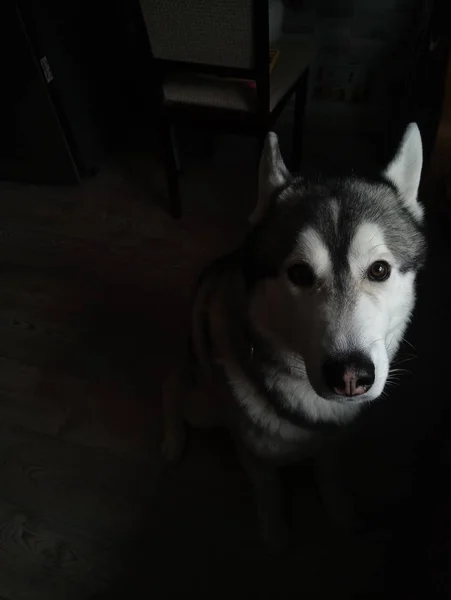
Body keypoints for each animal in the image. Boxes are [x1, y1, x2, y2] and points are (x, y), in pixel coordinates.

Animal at [162, 124, 428, 552]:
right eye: (300, 274)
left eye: (379, 270)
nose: (350, 376)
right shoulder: (252, 449)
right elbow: (268, 489)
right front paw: (274, 535)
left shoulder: (334, 442)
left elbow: (329, 474)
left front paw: (340, 511)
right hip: (204, 405)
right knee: (173, 386)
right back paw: (172, 440)